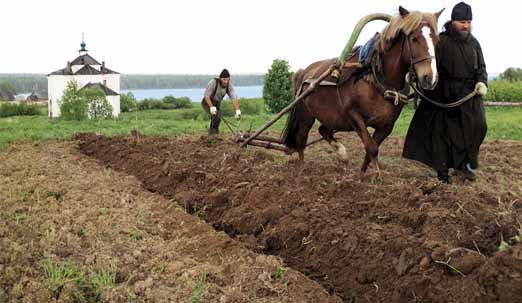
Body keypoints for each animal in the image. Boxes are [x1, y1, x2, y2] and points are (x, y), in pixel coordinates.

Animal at [282, 5, 440, 175]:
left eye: (436, 40)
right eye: (414, 39)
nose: (430, 78)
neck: (378, 81)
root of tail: (304, 71)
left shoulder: (387, 125)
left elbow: (371, 149)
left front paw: (363, 173)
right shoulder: (354, 116)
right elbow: (371, 148)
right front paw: (377, 176)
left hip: (333, 118)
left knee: (323, 130)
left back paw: (341, 154)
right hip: (306, 116)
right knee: (301, 139)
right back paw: (302, 168)